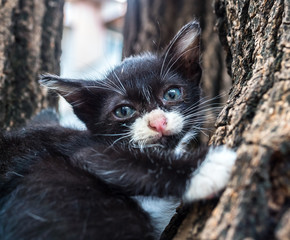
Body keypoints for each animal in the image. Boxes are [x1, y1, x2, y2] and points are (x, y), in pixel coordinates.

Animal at [0, 21, 236, 240]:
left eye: (172, 94)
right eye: (123, 110)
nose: (158, 122)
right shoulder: (85, 147)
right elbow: (124, 162)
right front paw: (208, 166)